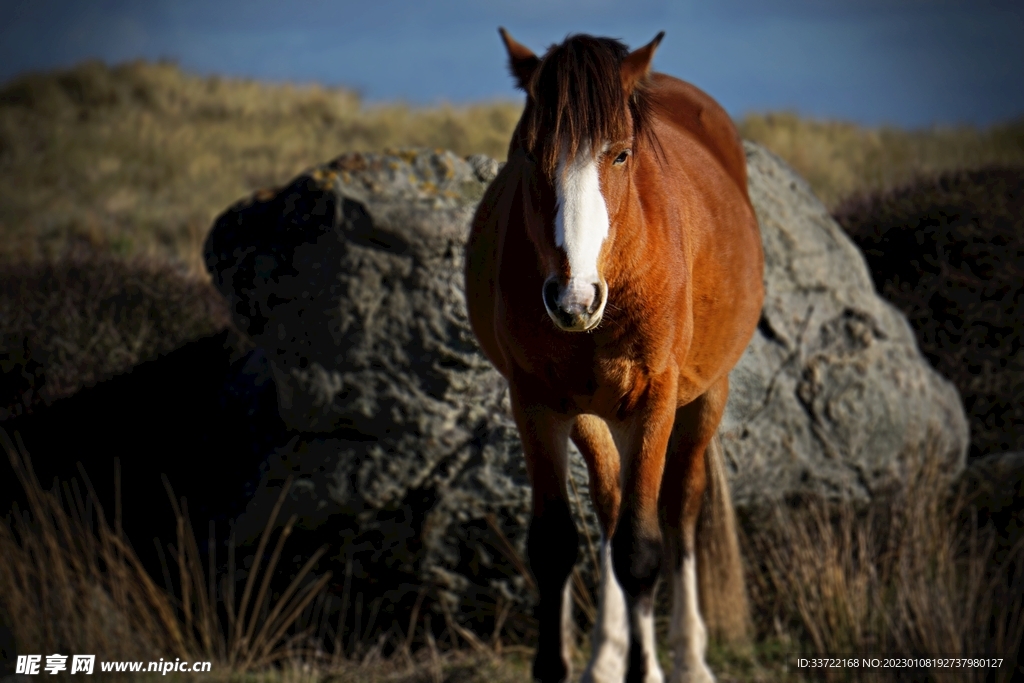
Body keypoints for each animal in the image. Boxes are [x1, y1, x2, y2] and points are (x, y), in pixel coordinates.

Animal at [464, 28, 764, 683]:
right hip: (590, 413)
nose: (572, 297)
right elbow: (555, 545)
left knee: (677, 513)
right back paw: (607, 655)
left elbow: (641, 550)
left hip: (705, 397)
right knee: (609, 508)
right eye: (529, 154)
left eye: (621, 155)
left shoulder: (655, 401)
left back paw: (689, 658)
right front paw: (567, 664)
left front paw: (650, 668)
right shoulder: (535, 403)